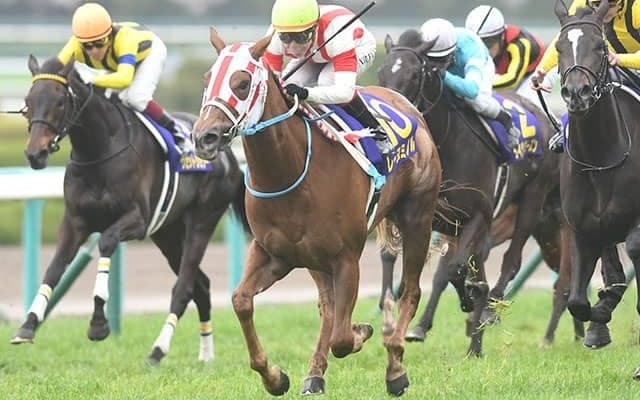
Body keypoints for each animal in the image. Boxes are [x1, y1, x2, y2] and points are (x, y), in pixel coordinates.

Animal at [11, 55, 248, 365]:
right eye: (28, 100)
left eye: (60, 102)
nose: (34, 154)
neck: (98, 151)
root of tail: (229, 155)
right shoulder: (75, 222)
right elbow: (54, 267)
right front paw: (27, 325)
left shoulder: (136, 220)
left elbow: (106, 242)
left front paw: (98, 324)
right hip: (168, 233)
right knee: (202, 285)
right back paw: (206, 354)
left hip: (202, 221)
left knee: (184, 287)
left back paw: (158, 350)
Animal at [191, 28, 441, 396]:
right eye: (208, 79)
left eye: (242, 82)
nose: (204, 137)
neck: (290, 170)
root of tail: (408, 105)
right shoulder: (272, 252)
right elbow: (241, 301)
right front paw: (275, 377)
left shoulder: (346, 258)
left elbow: (342, 337)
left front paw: (363, 333)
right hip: (314, 258)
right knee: (327, 306)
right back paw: (315, 374)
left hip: (417, 218)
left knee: (409, 290)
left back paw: (395, 368)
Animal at [377, 29, 587, 355]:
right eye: (381, 72)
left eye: (414, 74)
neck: (446, 143)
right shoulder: (437, 222)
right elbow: (430, 267)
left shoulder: (479, 217)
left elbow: (455, 270)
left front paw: (469, 305)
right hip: (548, 234)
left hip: (533, 201)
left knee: (513, 262)